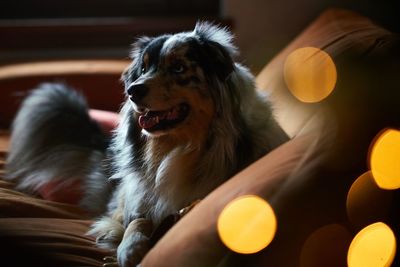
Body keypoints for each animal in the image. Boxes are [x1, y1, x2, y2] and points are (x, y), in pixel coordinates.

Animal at [4, 22, 290, 266]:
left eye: (179, 68)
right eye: (143, 69)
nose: (133, 90)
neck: (180, 148)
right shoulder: (139, 198)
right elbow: (136, 221)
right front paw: (129, 248)